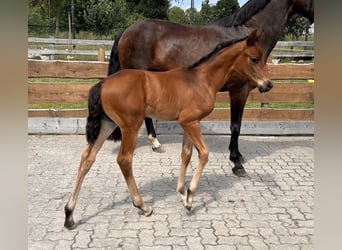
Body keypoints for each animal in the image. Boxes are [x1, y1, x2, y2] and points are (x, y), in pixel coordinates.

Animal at [65, 29, 272, 229]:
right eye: (254, 58)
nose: (268, 85)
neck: (201, 80)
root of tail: (102, 83)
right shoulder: (190, 122)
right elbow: (204, 154)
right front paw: (190, 197)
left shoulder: (188, 122)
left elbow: (186, 155)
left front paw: (181, 193)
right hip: (130, 127)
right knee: (124, 160)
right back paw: (143, 206)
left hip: (107, 124)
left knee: (87, 158)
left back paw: (69, 215)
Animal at [108, 0, 314, 177]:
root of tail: (126, 31)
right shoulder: (239, 91)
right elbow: (235, 125)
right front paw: (236, 163)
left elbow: (238, 124)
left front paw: (238, 155)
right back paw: (154, 142)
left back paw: (155, 143)